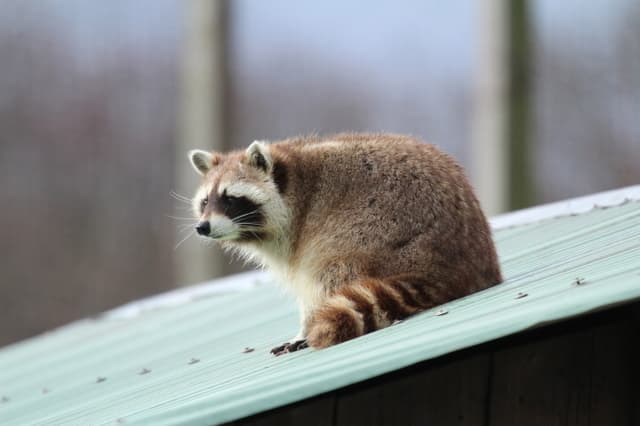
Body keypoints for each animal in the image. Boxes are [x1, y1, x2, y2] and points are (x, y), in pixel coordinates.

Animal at [188, 134, 502, 356]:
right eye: (205, 202)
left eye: (230, 199)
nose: (202, 227)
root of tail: (454, 267)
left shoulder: (303, 228)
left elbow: (312, 281)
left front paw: (304, 325)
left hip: (376, 226)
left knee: (332, 266)